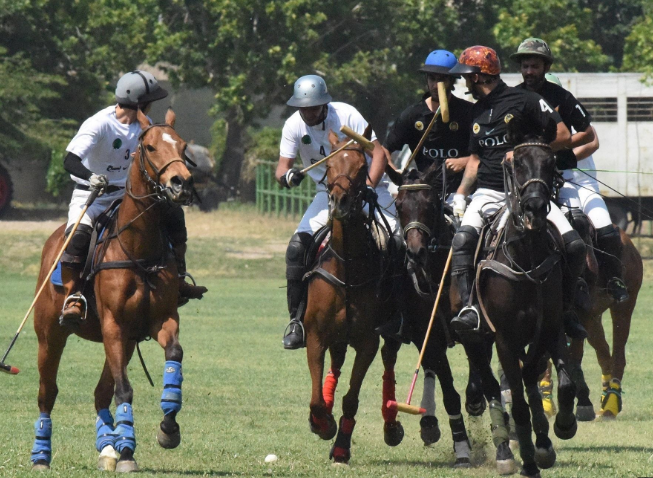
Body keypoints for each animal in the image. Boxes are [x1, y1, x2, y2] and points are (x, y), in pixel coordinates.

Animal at [31, 108, 191, 470]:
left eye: (183, 146)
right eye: (149, 147)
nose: (181, 183)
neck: (138, 248)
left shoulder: (159, 320)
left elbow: (174, 357)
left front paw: (168, 429)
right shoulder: (113, 325)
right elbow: (125, 390)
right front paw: (129, 450)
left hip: (125, 342)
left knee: (99, 393)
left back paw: (107, 448)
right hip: (50, 336)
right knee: (48, 393)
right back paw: (41, 455)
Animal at [304, 129, 404, 464]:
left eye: (362, 168)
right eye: (329, 164)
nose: (339, 201)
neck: (346, 265)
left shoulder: (367, 342)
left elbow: (352, 399)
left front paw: (340, 446)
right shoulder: (315, 335)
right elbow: (315, 398)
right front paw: (322, 422)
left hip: (389, 333)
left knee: (389, 362)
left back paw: (391, 424)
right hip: (336, 337)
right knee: (334, 366)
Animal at [392, 165, 516, 474]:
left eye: (430, 204)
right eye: (399, 206)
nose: (416, 253)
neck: (438, 277)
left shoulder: (474, 334)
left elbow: (480, 385)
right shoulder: (431, 339)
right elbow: (450, 395)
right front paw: (461, 448)